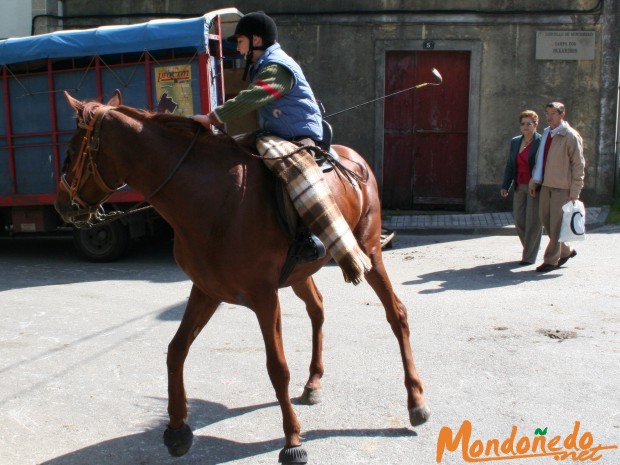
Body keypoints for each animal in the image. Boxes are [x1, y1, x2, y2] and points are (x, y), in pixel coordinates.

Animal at [55, 91, 428, 464]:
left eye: (71, 151)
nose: (61, 205)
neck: (212, 198)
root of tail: (355, 159)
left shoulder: (264, 297)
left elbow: (277, 367)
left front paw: (293, 441)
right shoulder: (206, 291)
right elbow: (176, 350)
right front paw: (176, 428)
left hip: (369, 252)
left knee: (396, 314)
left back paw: (416, 401)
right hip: (300, 273)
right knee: (318, 309)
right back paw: (314, 382)